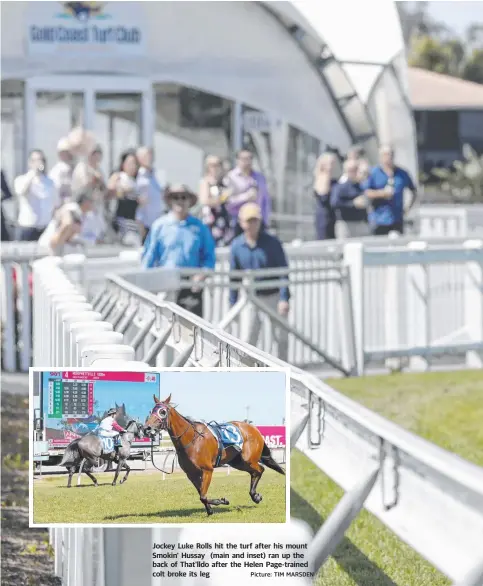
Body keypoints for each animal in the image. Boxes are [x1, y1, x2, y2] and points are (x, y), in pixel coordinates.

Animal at [146, 394, 286, 512]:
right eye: (151, 411)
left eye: (162, 412)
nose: (147, 427)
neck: (191, 439)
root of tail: (254, 429)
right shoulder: (191, 474)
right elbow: (202, 495)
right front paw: (214, 506)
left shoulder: (207, 470)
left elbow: (203, 496)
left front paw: (220, 502)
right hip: (238, 462)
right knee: (255, 472)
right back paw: (254, 495)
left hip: (248, 459)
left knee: (260, 469)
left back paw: (255, 496)